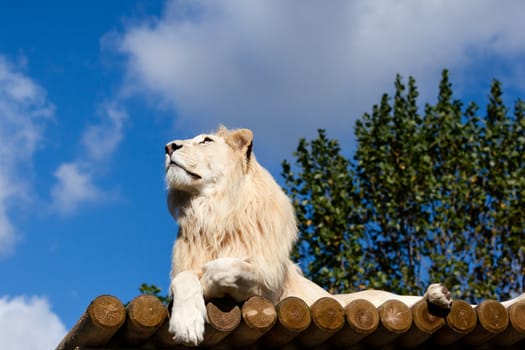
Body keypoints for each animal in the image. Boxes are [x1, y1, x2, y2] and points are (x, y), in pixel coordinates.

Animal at [165, 126, 450, 344]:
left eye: (206, 140)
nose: (168, 147)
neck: (213, 213)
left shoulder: (268, 288)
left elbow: (229, 268)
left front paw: (207, 279)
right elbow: (184, 279)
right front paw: (186, 322)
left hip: (381, 299)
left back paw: (439, 294)